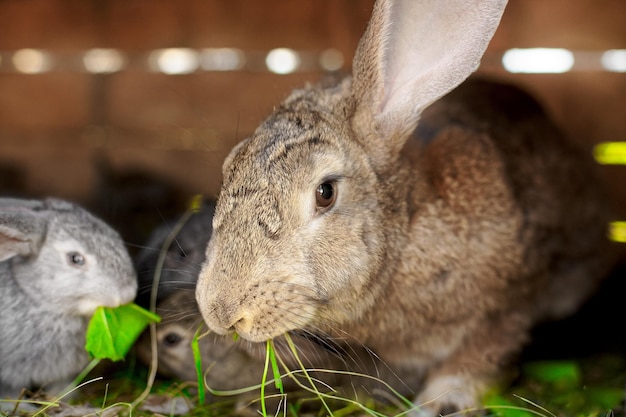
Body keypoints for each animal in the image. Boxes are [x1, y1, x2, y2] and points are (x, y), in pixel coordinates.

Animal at [196, 0, 620, 412]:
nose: (221, 312)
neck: (406, 236)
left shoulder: (512, 302)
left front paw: (441, 402)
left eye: (325, 193)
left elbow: (481, 352)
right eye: (229, 166)